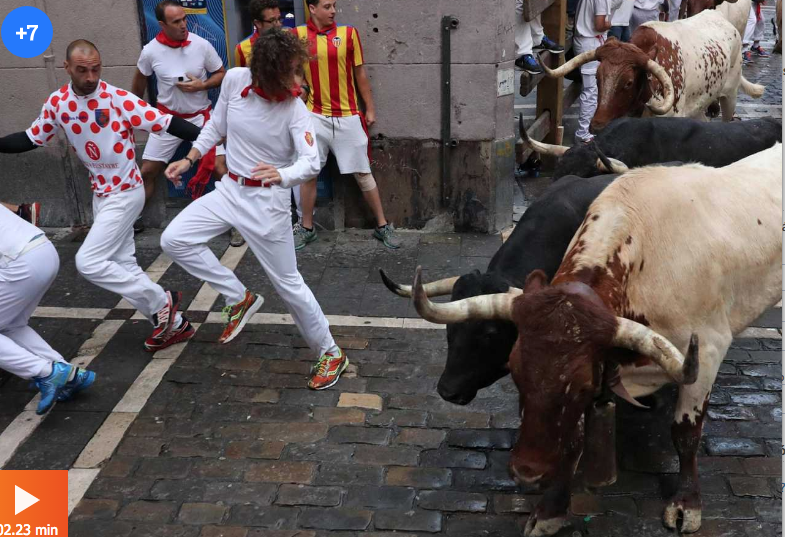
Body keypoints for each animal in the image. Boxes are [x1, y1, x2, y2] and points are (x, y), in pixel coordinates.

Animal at [408, 143, 780, 536]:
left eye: (491, 336)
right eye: (515, 370)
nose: (526, 472)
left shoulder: (705, 354)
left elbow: (686, 433)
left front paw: (686, 503)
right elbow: (572, 441)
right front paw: (551, 510)